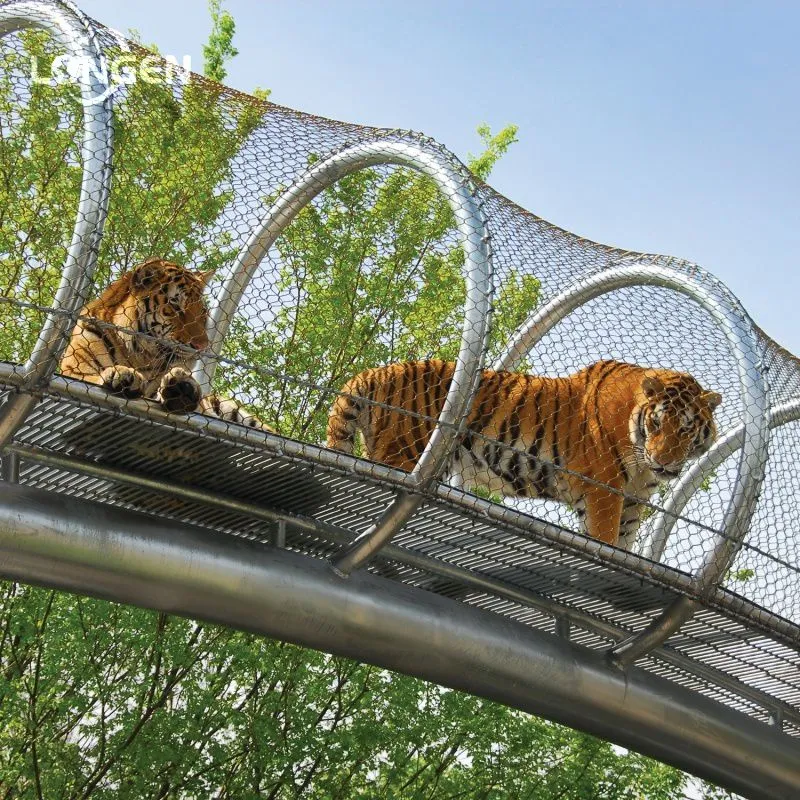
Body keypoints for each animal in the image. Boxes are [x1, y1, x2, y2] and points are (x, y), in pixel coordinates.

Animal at [59, 257, 274, 431]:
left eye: (202, 311)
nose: (203, 346)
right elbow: (90, 377)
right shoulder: (73, 371)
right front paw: (122, 374)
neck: (138, 356)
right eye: (175, 306)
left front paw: (182, 387)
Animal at [326, 359, 721, 549]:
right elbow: (604, 539)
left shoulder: (634, 502)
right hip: (401, 454)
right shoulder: (604, 492)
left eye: (685, 428)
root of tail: (375, 373)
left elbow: (622, 546)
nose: (665, 462)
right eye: (656, 423)